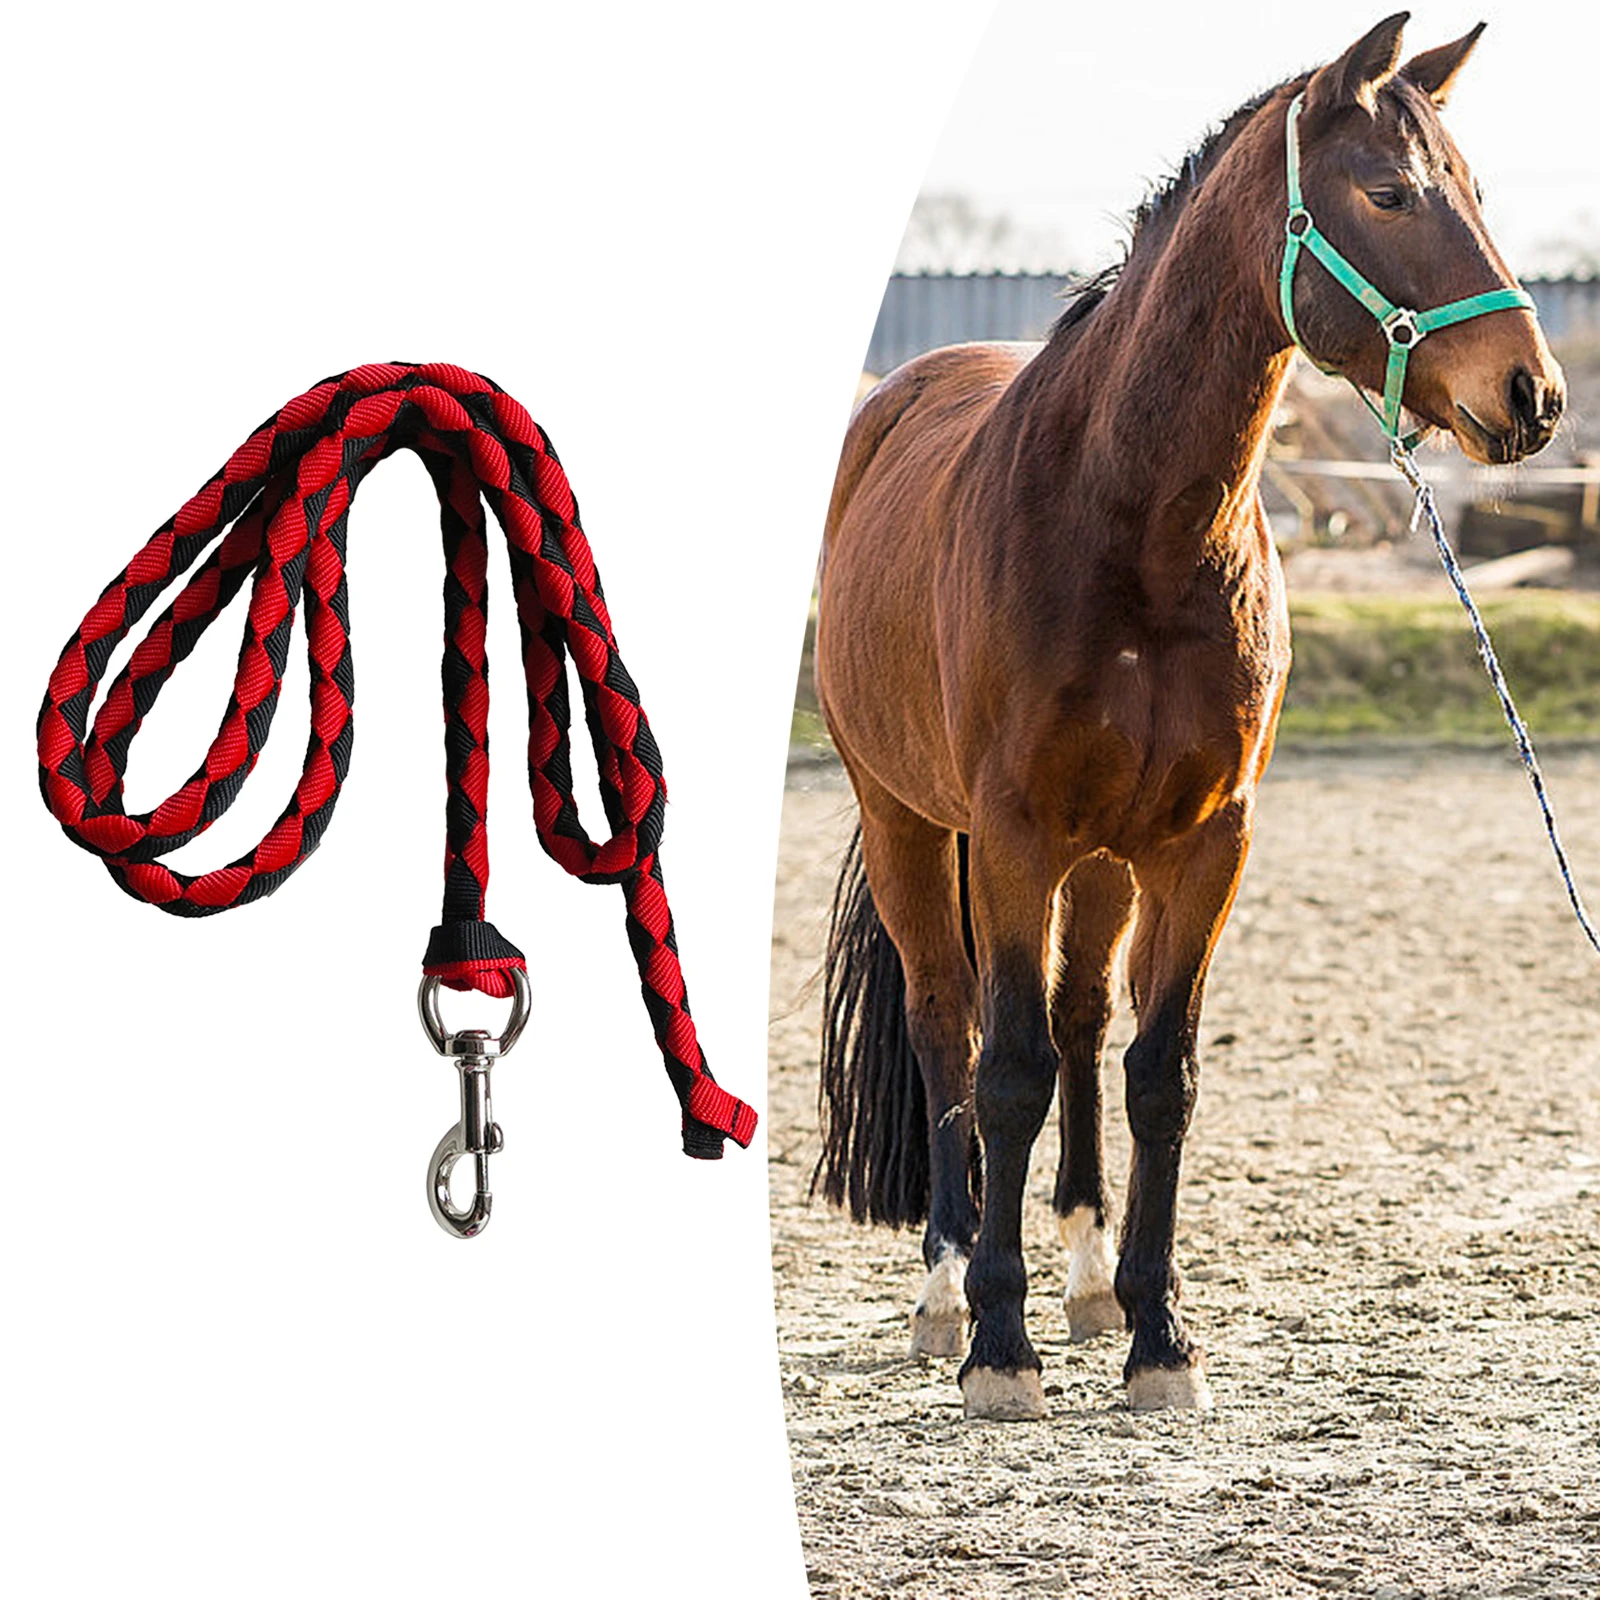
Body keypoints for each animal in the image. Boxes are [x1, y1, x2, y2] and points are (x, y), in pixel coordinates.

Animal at [812, 13, 1565, 1420]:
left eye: (1478, 194)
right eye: (1388, 194)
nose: (1532, 394)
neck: (1132, 525)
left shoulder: (1205, 842)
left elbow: (1157, 1074)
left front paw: (1158, 1333)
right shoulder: (1011, 838)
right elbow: (1003, 1072)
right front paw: (1001, 1348)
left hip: (1105, 862)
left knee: (1076, 1021)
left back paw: (1087, 1277)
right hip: (907, 824)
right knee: (947, 1024)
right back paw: (946, 1289)